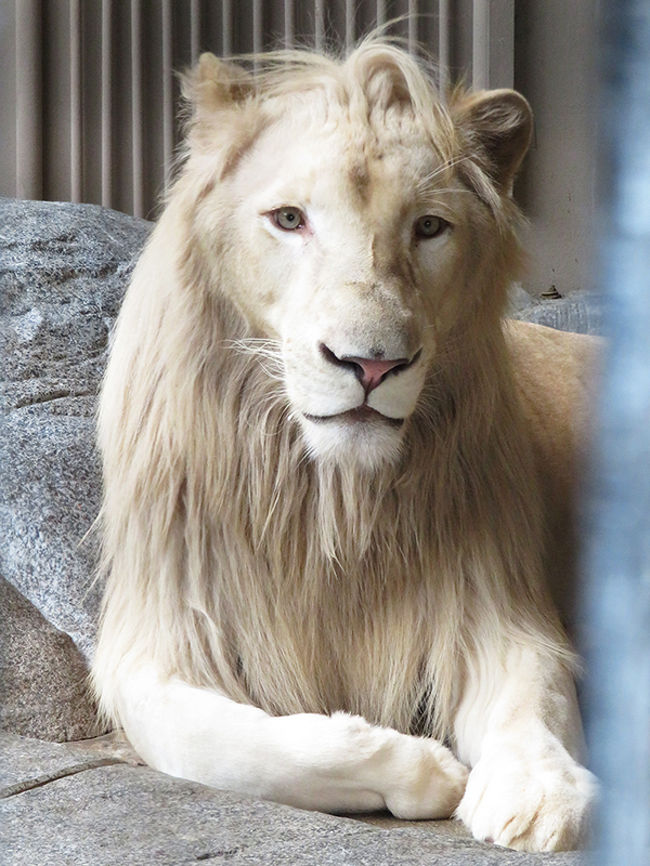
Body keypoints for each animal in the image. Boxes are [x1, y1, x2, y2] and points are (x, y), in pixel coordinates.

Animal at [91, 42, 596, 852]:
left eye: (429, 227)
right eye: (289, 219)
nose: (371, 364)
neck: (329, 500)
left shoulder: (498, 606)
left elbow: (536, 701)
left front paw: (542, 794)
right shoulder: (152, 642)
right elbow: (238, 747)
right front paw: (421, 771)